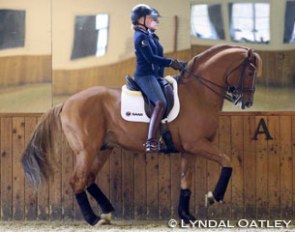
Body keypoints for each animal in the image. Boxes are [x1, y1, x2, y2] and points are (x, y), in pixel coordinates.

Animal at [22, 44, 264, 226]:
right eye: (251, 71)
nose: (247, 102)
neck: (198, 94)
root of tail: (66, 103)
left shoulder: (189, 149)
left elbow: (186, 181)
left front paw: (186, 216)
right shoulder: (197, 144)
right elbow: (227, 161)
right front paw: (214, 196)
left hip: (103, 148)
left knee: (89, 178)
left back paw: (106, 212)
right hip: (86, 150)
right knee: (77, 181)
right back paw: (93, 219)